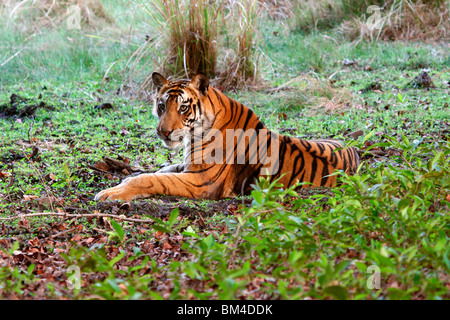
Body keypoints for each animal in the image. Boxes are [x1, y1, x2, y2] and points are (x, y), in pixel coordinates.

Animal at [95, 74, 358, 201]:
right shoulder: (189, 166)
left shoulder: (201, 181)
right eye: (161, 106)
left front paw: (111, 192)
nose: (163, 132)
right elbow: (164, 169)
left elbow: (151, 179)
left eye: (183, 108)